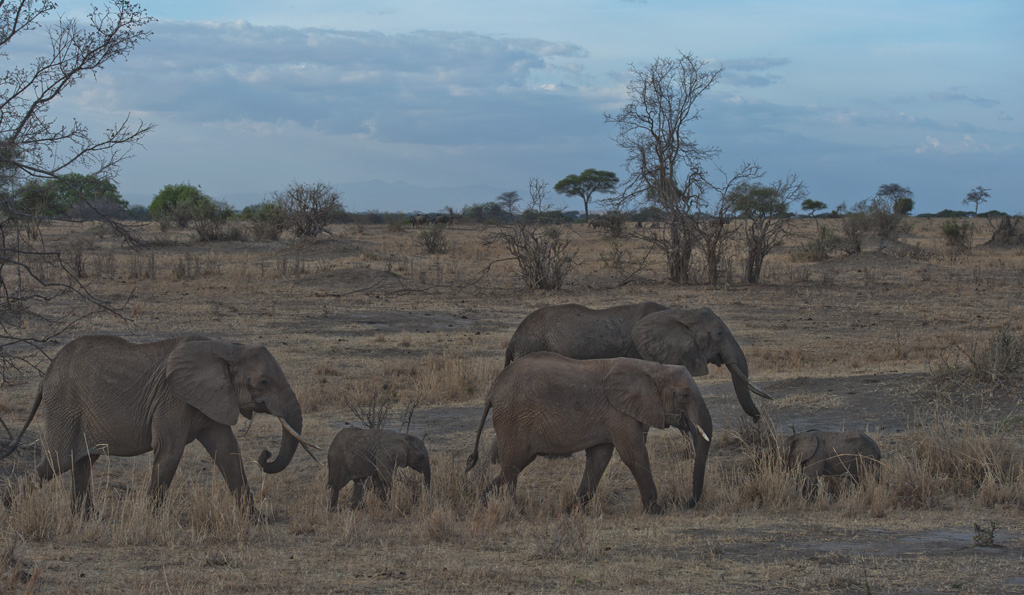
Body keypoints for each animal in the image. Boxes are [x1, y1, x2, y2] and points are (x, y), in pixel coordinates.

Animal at [0, 333, 317, 510]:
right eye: (263, 382)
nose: (265, 454)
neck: (228, 348)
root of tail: (45, 375)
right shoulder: (173, 398)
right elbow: (169, 451)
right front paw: (152, 517)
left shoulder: (210, 399)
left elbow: (227, 451)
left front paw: (253, 518)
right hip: (64, 406)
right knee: (58, 461)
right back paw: (9, 507)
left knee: (83, 463)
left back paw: (86, 519)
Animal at [466, 350, 712, 512]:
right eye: (685, 395)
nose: (685, 504)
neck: (654, 368)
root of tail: (492, 391)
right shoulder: (618, 412)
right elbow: (634, 455)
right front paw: (655, 510)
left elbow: (599, 458)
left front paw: (572, 510)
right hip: (513, 419)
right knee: (513, 466)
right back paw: (512, 509)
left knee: (513, 466)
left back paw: (484, 501)